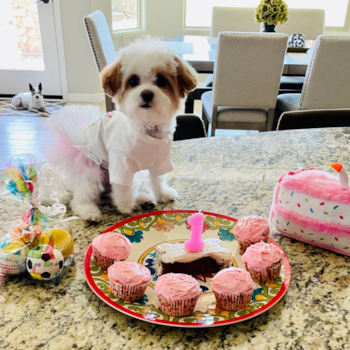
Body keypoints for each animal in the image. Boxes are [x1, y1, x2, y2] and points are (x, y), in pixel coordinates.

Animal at [43, 40, 197, 221]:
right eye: (133, 81)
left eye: (161, 80)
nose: (146, 94)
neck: (146, 129)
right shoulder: (120, 163)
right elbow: (122, 188)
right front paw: (125, 205)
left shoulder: (160, 159)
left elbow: (158, 178)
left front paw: (162, 194)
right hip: (91, 170)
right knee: (82, 197)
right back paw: (89, 211)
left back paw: (142, 199)